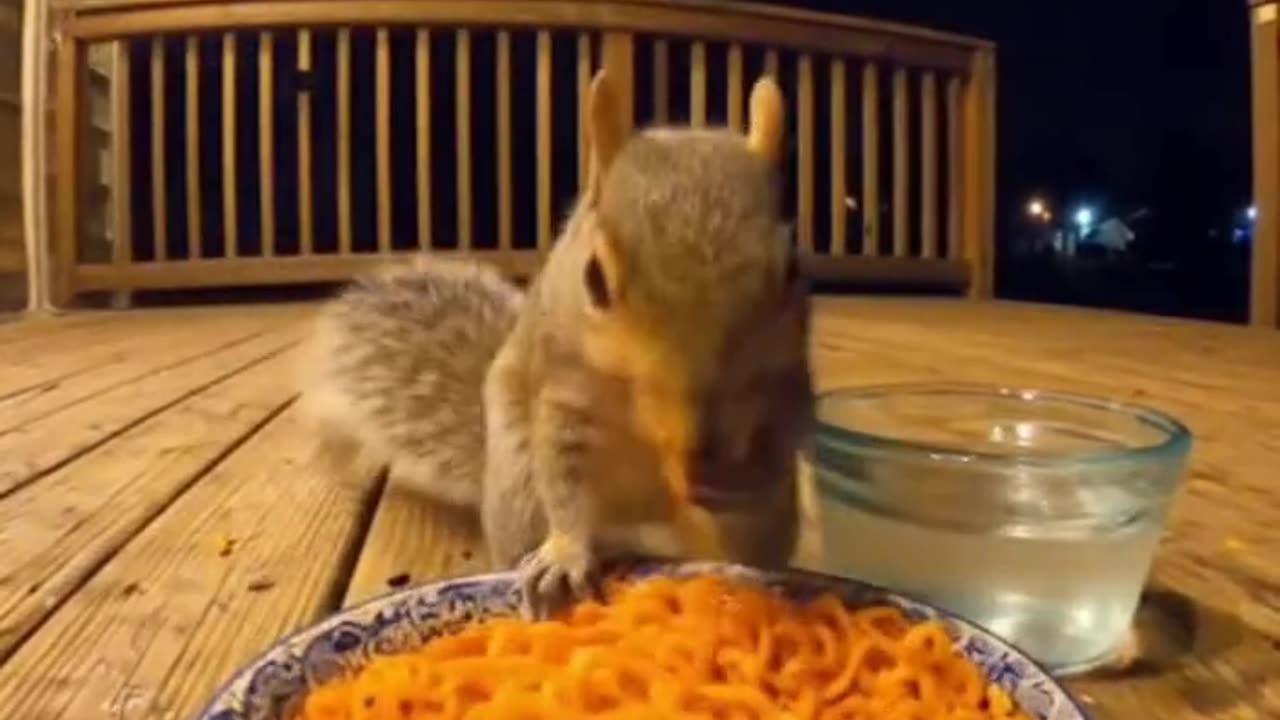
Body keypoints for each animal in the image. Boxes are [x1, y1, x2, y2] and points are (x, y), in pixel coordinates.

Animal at [298, 70, 815, 617]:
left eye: (793, 269)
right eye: (594, 278)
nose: (702, 443)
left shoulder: (789, 381)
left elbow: (787, 431)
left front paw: (745, 475)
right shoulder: (565, 393)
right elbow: (567, 483)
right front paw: (565, 556)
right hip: (519, 482)